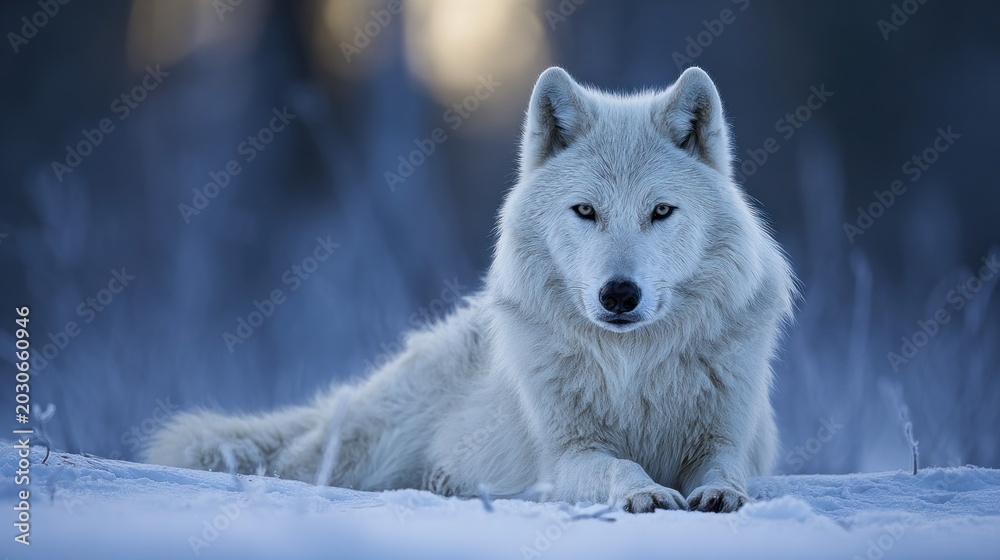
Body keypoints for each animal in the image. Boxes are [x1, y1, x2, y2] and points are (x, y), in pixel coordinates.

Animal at [146, 66, 795, 513]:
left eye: (661, 211)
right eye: (585, 211)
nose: (619, 295)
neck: (632, 368)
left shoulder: (728, 439)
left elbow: (724, 471)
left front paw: (719, 495)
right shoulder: (567, 455)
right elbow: (618, 469)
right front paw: (646, 492)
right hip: (368, 442)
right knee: (293, 461)